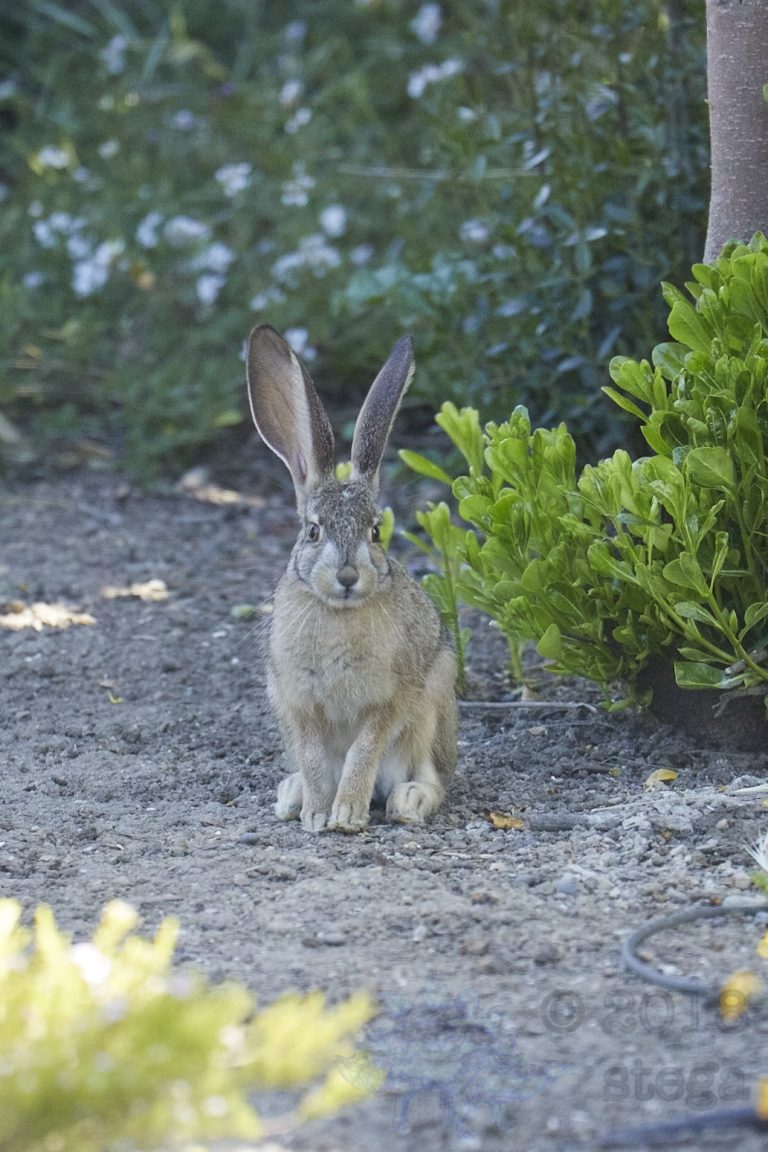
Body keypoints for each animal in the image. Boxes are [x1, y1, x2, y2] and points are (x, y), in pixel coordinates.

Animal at [245, 324, 458, 833]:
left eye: (375, 531)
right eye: (313, 530)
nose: (347, 576)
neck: (337, 614)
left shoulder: (393, 698)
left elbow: (365, 748)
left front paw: (345, 815)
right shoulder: (296, 702)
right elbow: (313, 757)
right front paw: (317, 814)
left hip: (434, 704)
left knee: (430, 776)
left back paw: (407, 801)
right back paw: (292, 796)